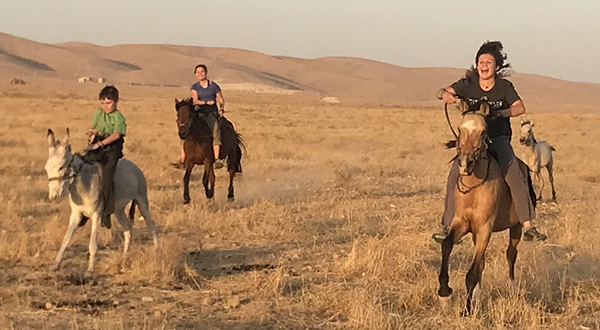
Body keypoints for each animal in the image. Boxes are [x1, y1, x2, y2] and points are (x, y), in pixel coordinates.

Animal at [45, 127, 159, 278]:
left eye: (61, 167)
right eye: (46, 168)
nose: (54, 196)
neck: (83, 184)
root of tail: (134, 166)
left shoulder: (97, 215)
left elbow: (93, 243)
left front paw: (89, 270)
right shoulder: (76, 214)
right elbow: (66, 239)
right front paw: (56, 264)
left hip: (142, 202)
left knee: (151, 225)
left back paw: (157, 250)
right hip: (118, 210)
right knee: (128, 229)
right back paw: (124, 258)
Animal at [436, 102, 536, 316]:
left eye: (483, 132)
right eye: (460, 129)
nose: (465, 163)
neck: (474, 188)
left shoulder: (484, 228)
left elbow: (472, 273)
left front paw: (466, 310)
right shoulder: (462, 224)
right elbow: (447, 245)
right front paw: (445, 293)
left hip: (516, 227)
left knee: (511, 254)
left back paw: (511, 287)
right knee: (483, 261)